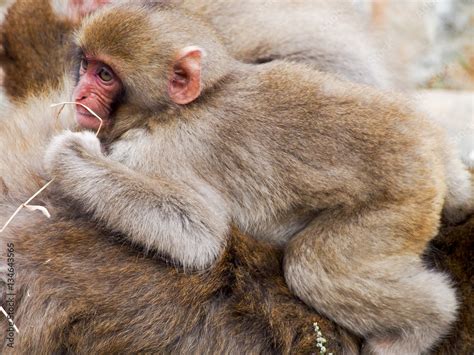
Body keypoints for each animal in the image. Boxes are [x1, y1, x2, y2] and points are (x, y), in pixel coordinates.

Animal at [43, 2, 470, 354]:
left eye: (104, 74)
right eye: (86, 66)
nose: (79, 96)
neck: (189, 104)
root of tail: (426, 152)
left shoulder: (158, 152)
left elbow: (198, 237)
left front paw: (70, 154)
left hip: (399, 202)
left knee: (314, 269)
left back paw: (423, 325)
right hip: (425, 144)